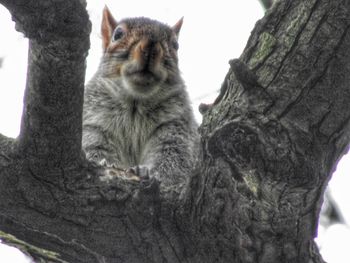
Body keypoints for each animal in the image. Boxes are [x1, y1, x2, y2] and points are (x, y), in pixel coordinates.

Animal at [80, 5, 198, 184]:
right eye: (117, 34)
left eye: (175, 44)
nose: (150, 46)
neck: (135, 103)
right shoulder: (94, 123)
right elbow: (93, 147)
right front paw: (104, 163)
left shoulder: (175, 125)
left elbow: (174, 159)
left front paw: (149, 172)